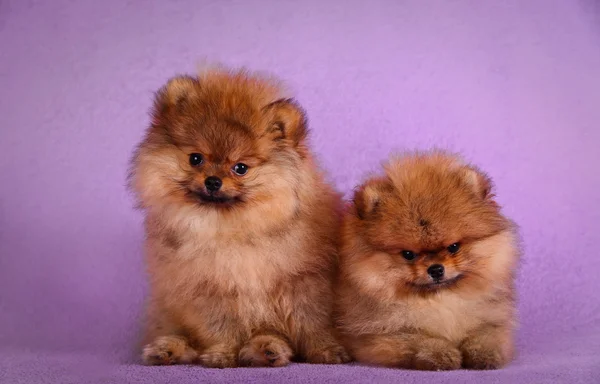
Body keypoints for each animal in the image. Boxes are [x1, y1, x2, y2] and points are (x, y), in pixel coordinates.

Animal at [129, 67, 350, 368]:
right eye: (195, 159)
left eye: (240, 168)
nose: (212, 181)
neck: (233, 227)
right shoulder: (211, 290)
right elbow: (223, 328)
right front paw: (221, 354)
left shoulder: (307, 282)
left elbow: (313, 323)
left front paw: (327, 350)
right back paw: (167, 349)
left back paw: (269, 349)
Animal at [336, 152, 516, 370]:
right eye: (408, 254)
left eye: (453, 247)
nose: (436, 269)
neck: (439, 299)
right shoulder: (383, 332)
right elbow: (421, 340)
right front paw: (441, 354)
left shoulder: (492, 318)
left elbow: (485, 337)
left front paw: (483, 355)